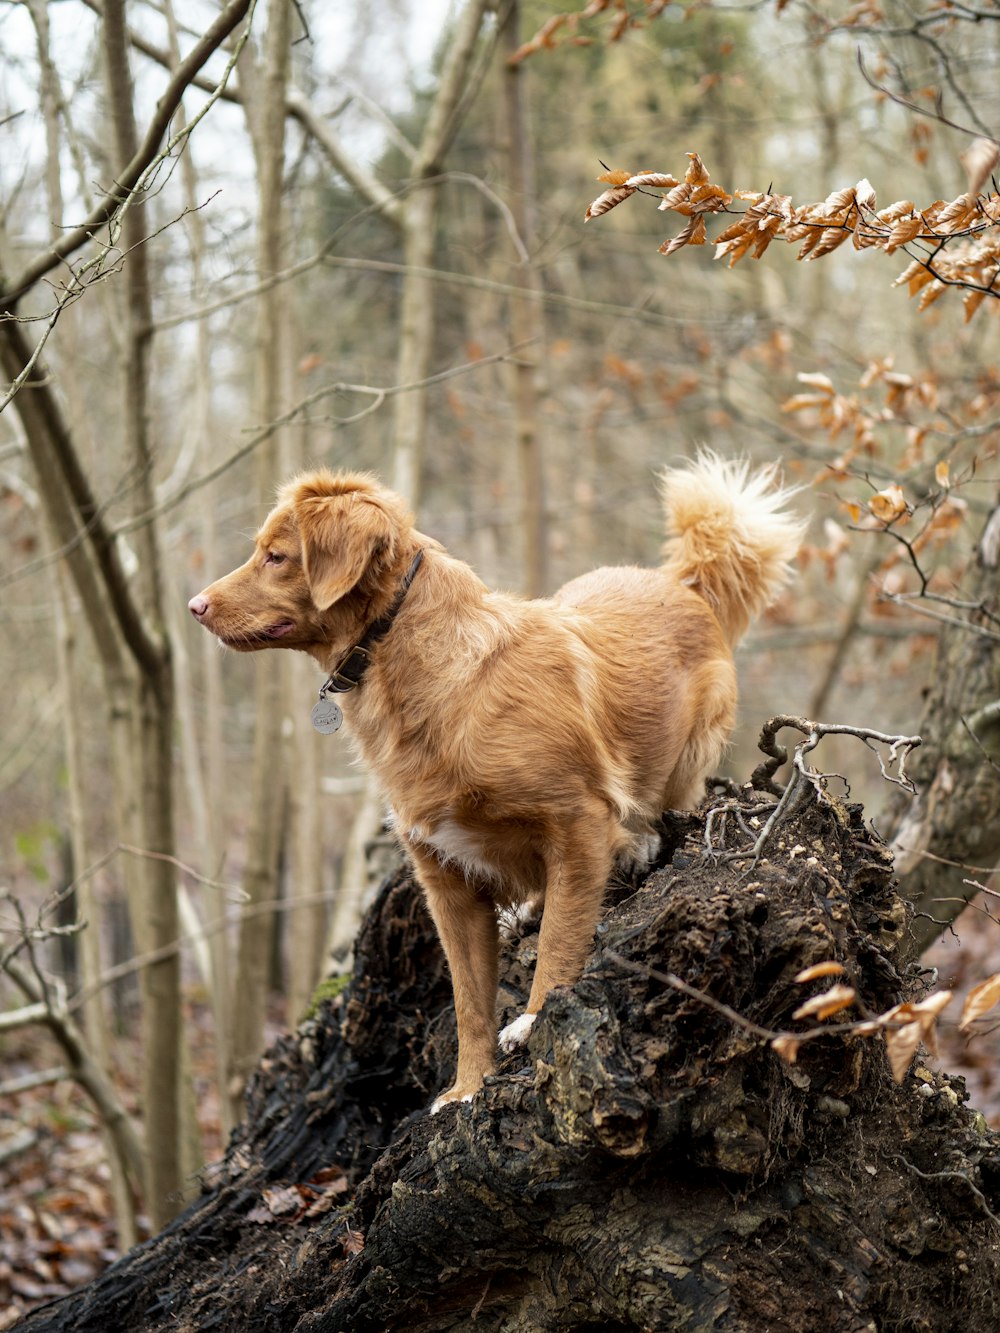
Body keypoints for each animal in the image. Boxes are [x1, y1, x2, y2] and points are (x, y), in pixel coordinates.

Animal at [189, 453, 805, 1109]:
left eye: (276, 556)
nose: (194, 606)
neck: (422, 670)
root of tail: (679, 583)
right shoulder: (446, 880)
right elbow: (469, 1002)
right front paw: (466, 1087)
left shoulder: (578, 821)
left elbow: (561, 943)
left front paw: (534, 1021)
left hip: (687, 752)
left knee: (657, 811)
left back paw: (633, 845)